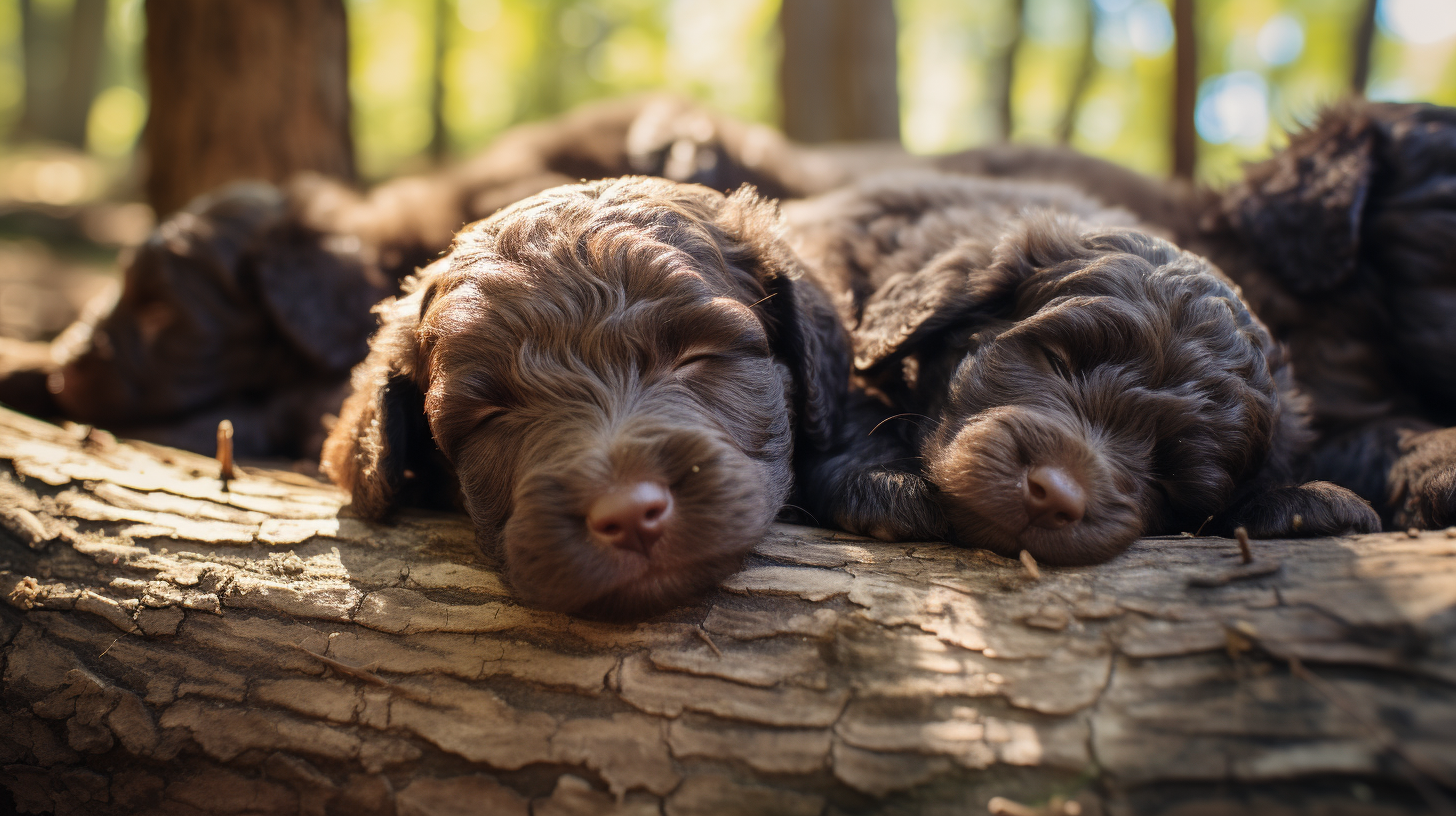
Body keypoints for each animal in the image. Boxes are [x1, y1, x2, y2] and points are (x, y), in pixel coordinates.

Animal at [786, 174, 1374, 565]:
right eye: (1057, 361)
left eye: (1173, 470)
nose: (1056, 496)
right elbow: (856, 391)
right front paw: (888, 478)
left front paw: (1300, 502)